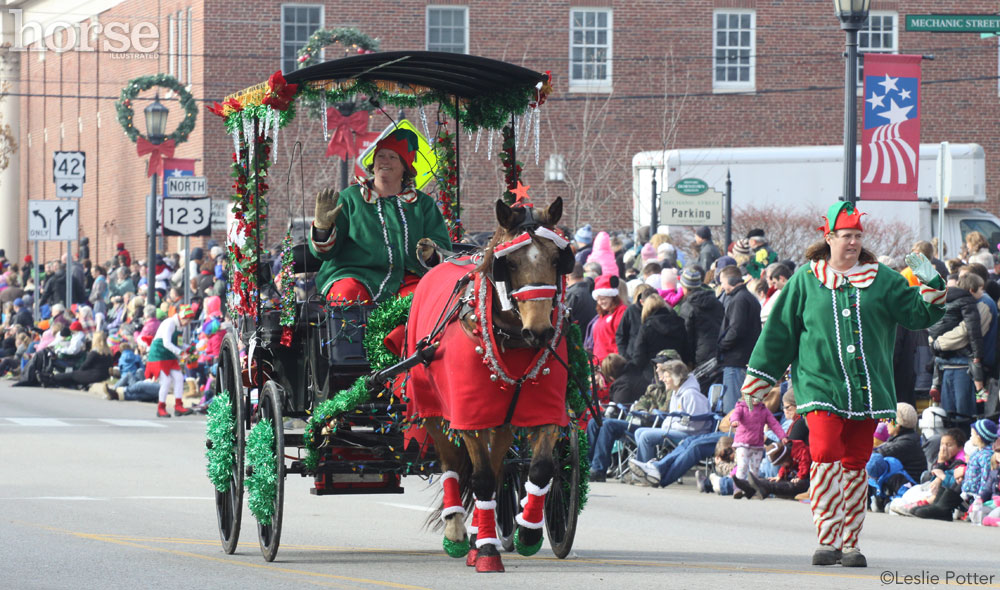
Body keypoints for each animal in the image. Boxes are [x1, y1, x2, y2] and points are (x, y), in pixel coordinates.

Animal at [402, 198, 576, 572]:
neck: (510, 340)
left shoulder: (544, 411)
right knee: (451, 465)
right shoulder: (469, 416)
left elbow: (540, 469)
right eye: (509, 263)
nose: (540, 332)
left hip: (503, 421)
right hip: (433, 410)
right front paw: (485, 552)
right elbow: (478, 477)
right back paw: (457, 533)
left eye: (558, 260)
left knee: (499, 470)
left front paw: (528, 533)